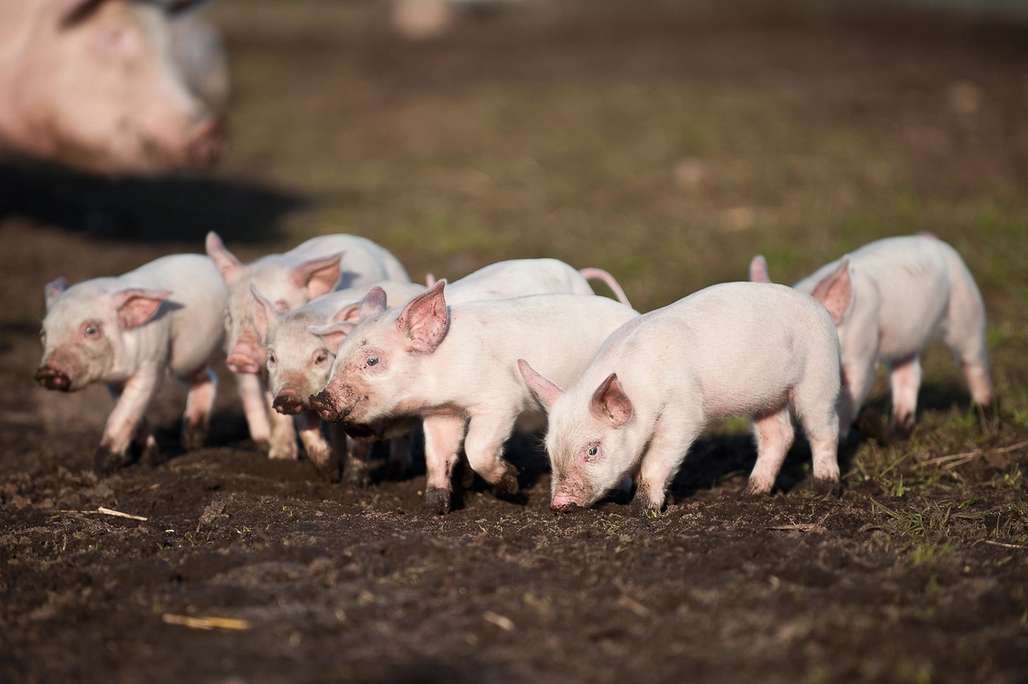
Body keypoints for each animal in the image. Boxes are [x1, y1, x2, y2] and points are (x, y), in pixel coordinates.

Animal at [38, 253, 229, 473]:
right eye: (43, 333)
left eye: (91, 330)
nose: (47, 371)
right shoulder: (113, 382)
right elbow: (133, 414)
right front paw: (149, 459)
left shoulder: (151, 365)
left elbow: (124, 412)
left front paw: (100, 468)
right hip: (188, 361)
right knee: (208, 377)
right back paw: (191, 443)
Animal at [522, 279, 842, 510]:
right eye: (548, 449)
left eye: (592, 450)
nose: (559, 504)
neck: (641, 391)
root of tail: (819, 308)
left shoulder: (684, 410)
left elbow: (657, 458)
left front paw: (643, 509)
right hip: (767, 398)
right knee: (778, 435)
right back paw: (750, 493)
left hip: (819, 375)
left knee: (824, 428)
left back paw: (825, 486)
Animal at [752, 233, 990, 432]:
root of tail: (931, 238)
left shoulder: (862, 345)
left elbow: (854, 388)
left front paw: (844, 432)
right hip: (906, 341)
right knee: (909, 373)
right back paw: (900, 425)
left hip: (967, 308)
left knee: (973, 361)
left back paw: (982, 409)